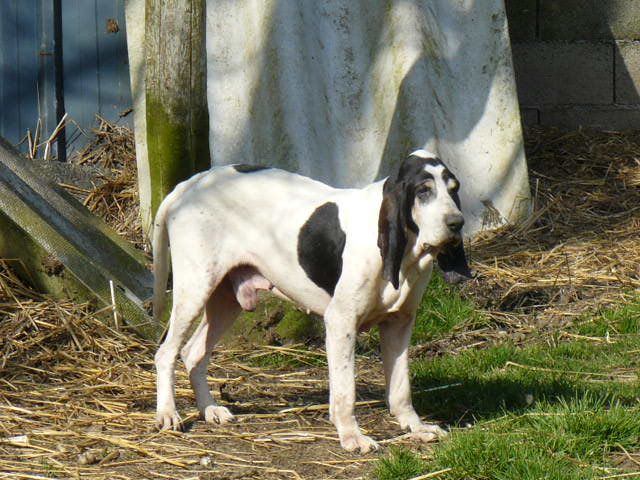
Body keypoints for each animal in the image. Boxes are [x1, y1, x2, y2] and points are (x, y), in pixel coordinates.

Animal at [150, 150, 470, 454]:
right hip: (194, 291)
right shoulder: (341, 323)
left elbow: (401, 387)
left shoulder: (400, 324)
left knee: (192, 353)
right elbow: (345, 391)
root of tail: (189, 184)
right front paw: (351, 436)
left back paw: (209, 410)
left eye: (454, 189)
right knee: (165, 353)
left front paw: (415, 427)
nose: (457, 223)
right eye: (423, 191)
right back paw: (168, 413)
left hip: (226, 301)